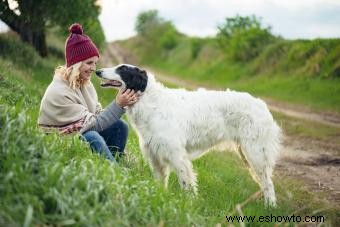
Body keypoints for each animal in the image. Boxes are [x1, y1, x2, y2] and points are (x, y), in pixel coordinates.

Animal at [95, 64, 282, 207]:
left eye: (122, 69)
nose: (98, 71)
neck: (151, 101)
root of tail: (261, 104)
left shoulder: (177, 156)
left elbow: (187, 185)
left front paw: (189, 204)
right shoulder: (156, 155)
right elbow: (160, 184)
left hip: (255, 153)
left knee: (269, 183)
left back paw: (270, 207)